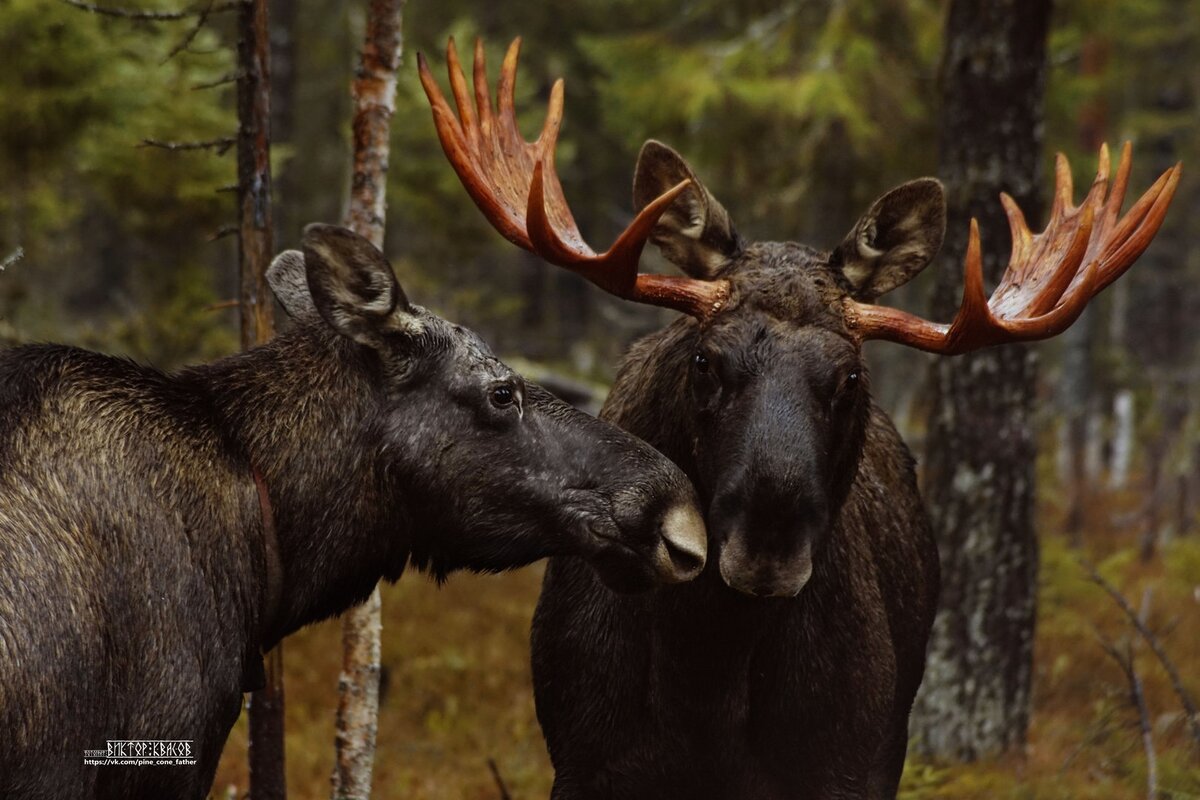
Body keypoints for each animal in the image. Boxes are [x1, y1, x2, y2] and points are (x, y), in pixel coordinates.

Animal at [417, 38, 1176, 800]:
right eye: (705, 361)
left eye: (852, 377)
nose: (768, 545)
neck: (705, 677)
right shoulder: (586, 762)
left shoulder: (845, 763)